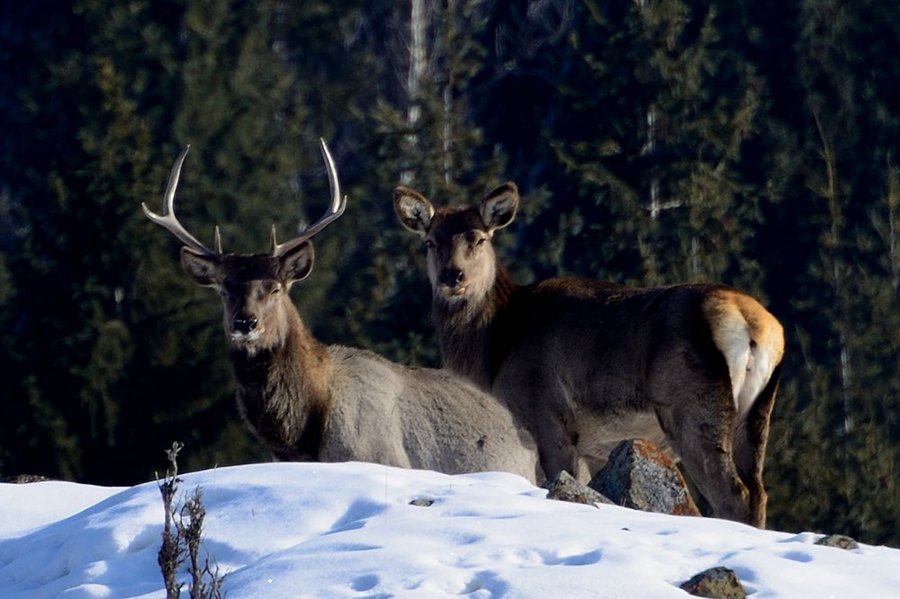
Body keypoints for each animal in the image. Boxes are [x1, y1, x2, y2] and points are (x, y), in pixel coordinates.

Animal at [398, 182, 784, 524]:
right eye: (430, 242)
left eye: (478, 238)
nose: (453, 276)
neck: (495, 350)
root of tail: (752, 324)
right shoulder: (600, 443)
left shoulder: (547, 413)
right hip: (757, 411)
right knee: (759, 491)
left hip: (691, 406)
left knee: (733, 494)